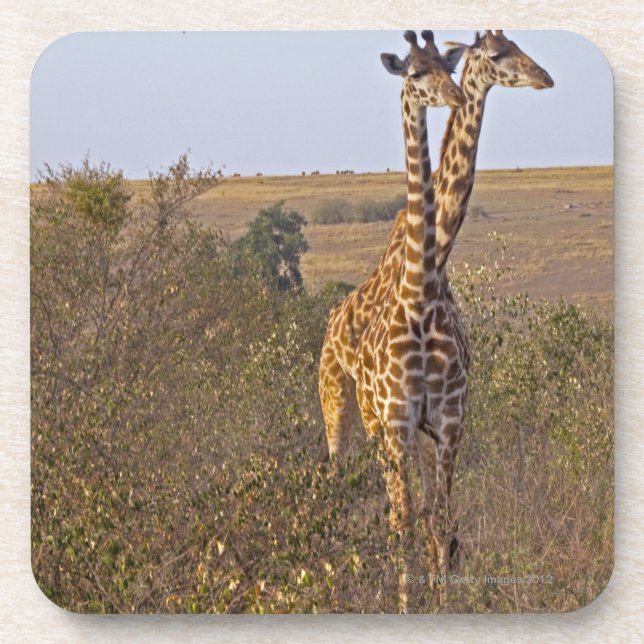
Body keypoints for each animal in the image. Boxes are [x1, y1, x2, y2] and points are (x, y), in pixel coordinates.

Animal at [319, 30, 553, 460]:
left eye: (452, 68)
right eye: (497, 54)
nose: (544, 77)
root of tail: (333, 318)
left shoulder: (443, 416)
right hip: (339, 394)